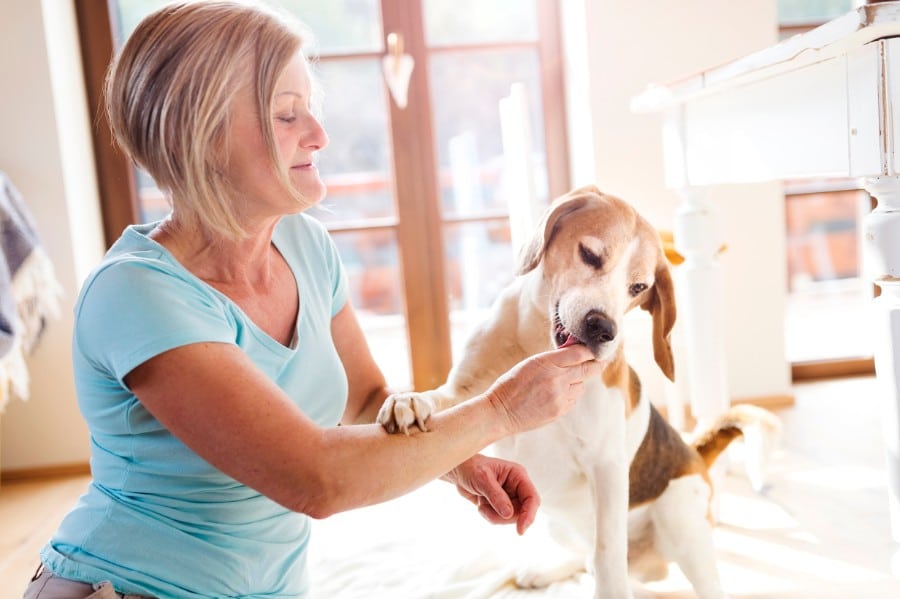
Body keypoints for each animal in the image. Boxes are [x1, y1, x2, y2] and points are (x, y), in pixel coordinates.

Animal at [378, 185, 780, 596]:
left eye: (639, 287)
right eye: (590, 254)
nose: (602, 328)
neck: (537, 344)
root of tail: (694, 452)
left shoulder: (606, 464)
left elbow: (607, 557)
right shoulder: (465, 390)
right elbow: (441, 398)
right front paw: (409, 401)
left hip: (680, 519)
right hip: (555, 518)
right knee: (586, 558)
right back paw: (548, 569)